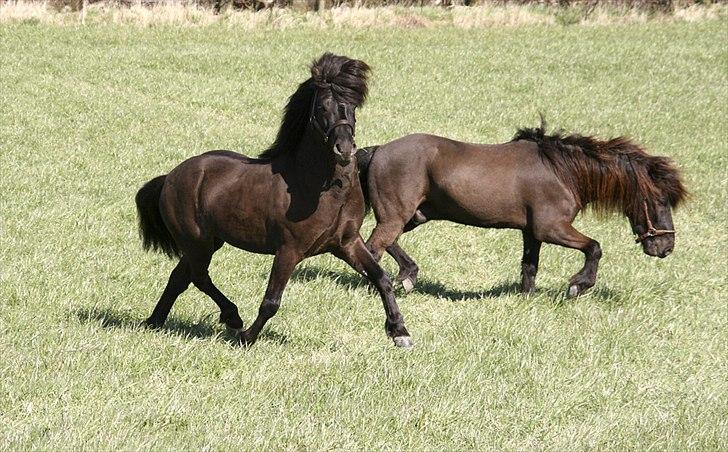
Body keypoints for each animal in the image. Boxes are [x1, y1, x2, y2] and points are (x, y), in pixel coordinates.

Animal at [134, 53, 412, 350]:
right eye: (322, 108)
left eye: (351, 106)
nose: (345, 149)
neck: (320, 187)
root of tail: (170, 177)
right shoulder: (289, 250)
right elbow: (271, 302)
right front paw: (246, 338)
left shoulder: (347, 243)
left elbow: (381, 278)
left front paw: (400, 332)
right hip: (198, 242)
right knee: (198, 277)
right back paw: (232, 318)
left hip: (207, 241)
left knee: (180, 278)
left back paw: (155, 321)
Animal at [356, 121, 684, 296]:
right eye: (660, 201)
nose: (666, 247)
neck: (563, 172)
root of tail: (377, 151)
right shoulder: (552, 228)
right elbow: (594, 247)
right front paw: (578, 285)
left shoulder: (531, 232)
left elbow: (530, 266)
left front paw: (526, 297)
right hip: (397, 215)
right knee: (374, 246)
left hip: (413, 215)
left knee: (383, 243)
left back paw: (408, 276)